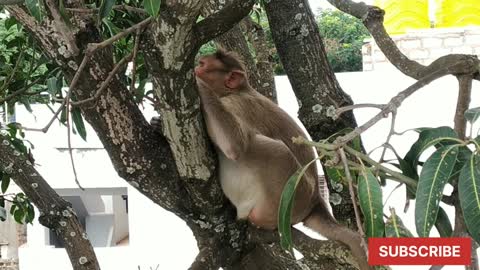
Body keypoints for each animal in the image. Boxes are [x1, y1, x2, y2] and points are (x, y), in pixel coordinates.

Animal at [152, 49, 370, 268]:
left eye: (202, 65)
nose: (196, 67)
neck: (238, 90)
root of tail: (315, 201)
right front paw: (157, 124)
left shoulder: (237, 104)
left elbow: (236, 144)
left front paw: (198, 84)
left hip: (290, 196)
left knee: (273, 149)